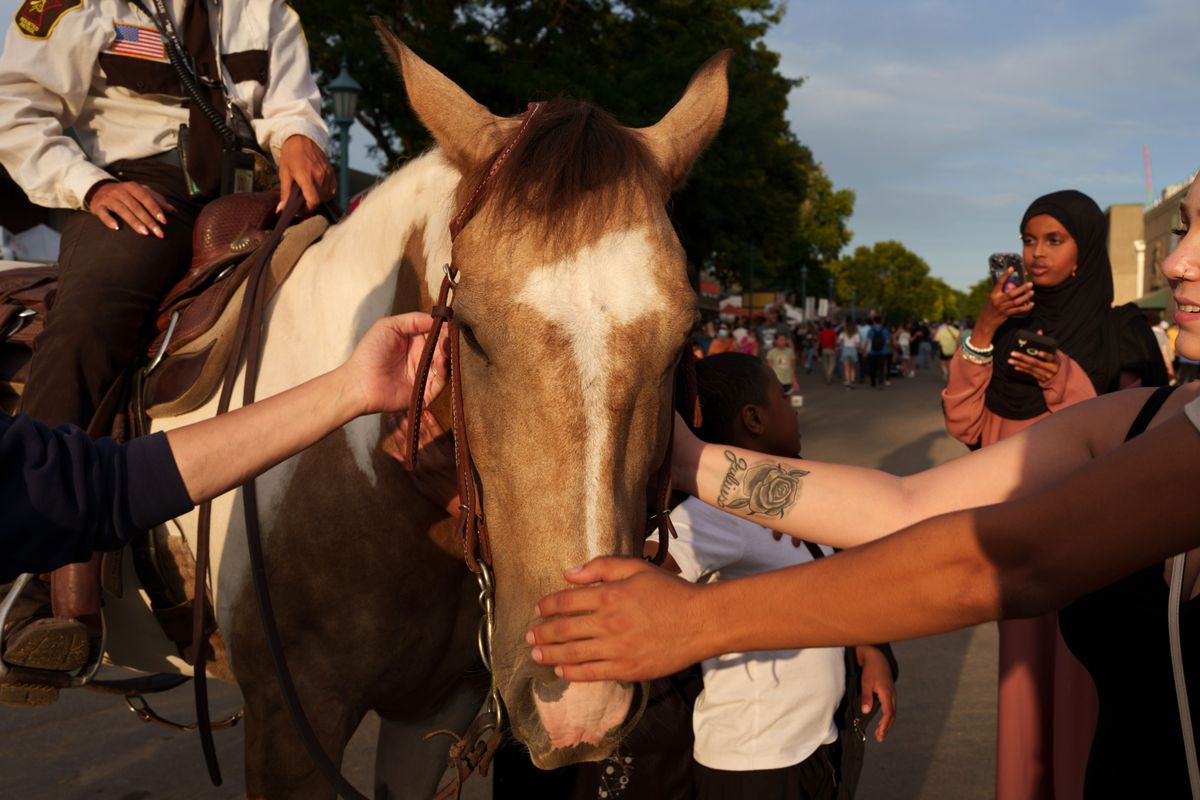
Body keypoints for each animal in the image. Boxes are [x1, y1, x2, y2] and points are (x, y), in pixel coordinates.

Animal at [108, 29, 724, 796]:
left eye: (682, 340)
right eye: (471, 331)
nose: (582, 701)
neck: (366, 476)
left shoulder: (432, 711)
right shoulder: (287, 724)